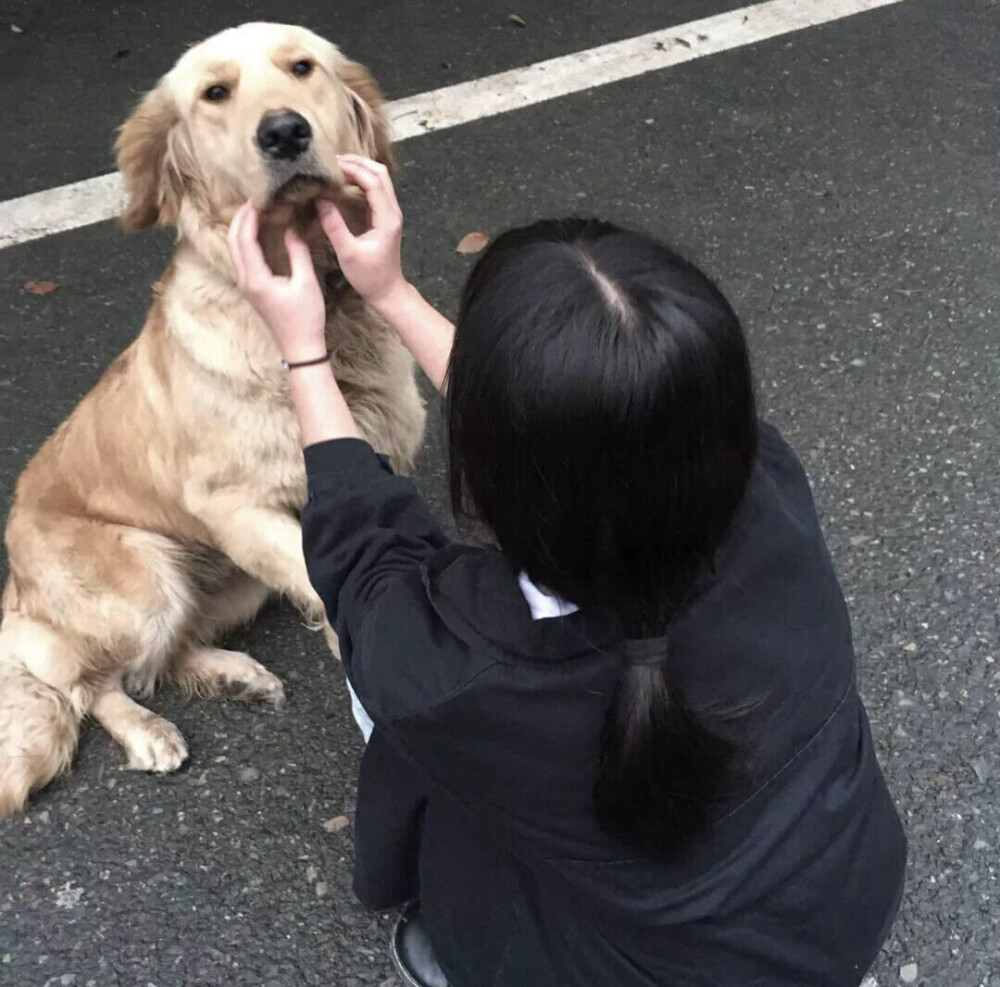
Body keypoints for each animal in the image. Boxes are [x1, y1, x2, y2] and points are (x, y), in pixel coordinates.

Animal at [0, 27, 426, 824]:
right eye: (215, 93)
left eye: (302, 67)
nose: (285, 131)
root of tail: (16, 589)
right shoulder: (237, 509)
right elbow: (332, 589)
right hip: (145, 578)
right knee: (91, 680)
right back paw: (148, 731)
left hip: (230, 582)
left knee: (163, 656)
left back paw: (233, 675)